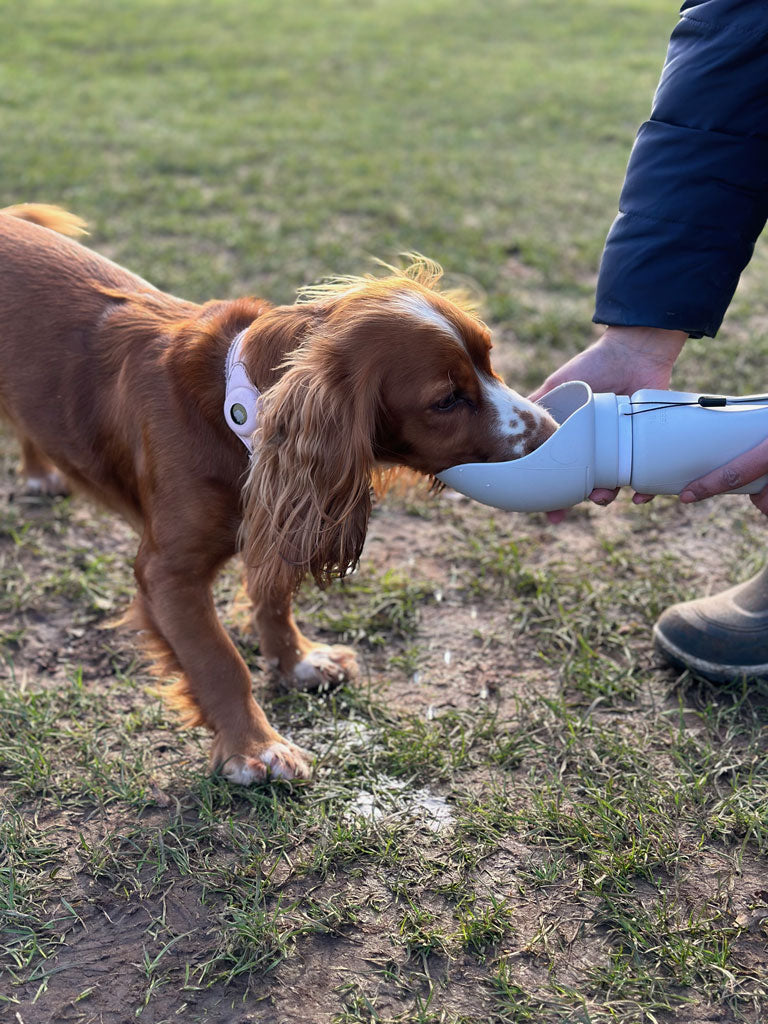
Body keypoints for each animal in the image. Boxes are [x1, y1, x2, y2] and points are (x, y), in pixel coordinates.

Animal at [0, 205, 557, 782]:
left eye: (489, 357)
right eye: (447, 400)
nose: (554, 431)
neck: (234, 411)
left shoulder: (280, 517)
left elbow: (273, 601)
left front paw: (298, 662)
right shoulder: (167, 573)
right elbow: (219, 661)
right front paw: (256, 748)